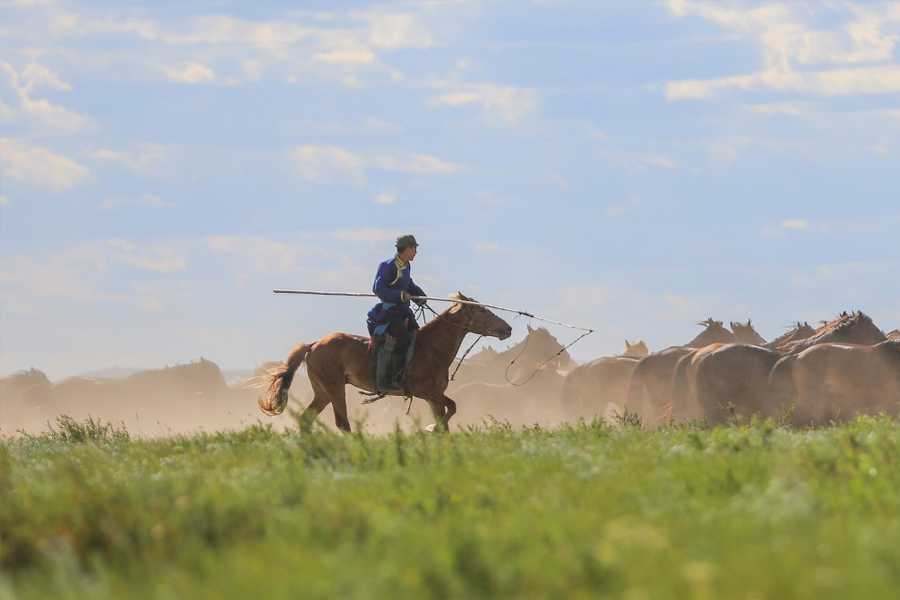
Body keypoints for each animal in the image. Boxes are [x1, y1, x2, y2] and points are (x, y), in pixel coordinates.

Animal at [260, 294, 512, 432]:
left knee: (307, 420)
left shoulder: (434, 397)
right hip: (335, 388)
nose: (507, 329)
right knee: (342, 423)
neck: (432, 348)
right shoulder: (428, 393)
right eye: (482, 311)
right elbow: (449, 413)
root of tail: (313, 345)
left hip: (322, 392)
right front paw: (430, 429)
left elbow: (448, 418)